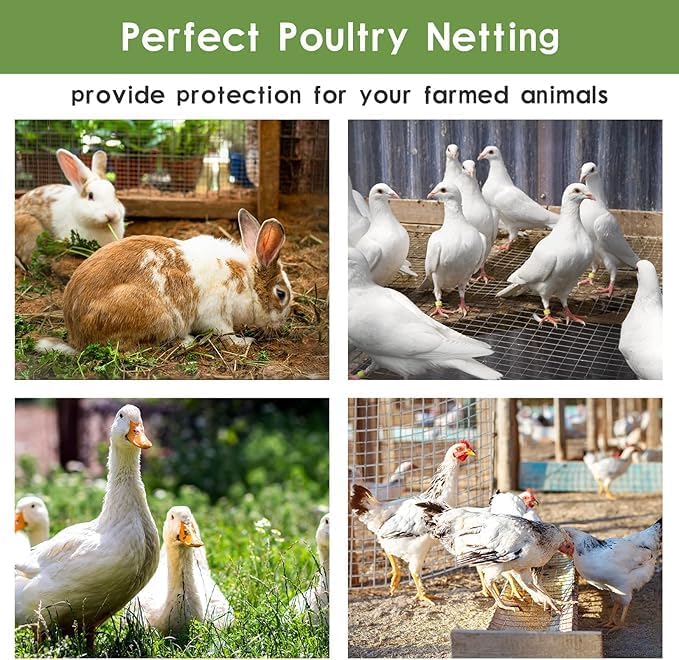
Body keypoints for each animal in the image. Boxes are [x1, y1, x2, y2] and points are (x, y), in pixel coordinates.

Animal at [45, 208, 292, 352]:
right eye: (281, 294)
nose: (280, 325)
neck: (247, 280)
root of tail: (76, 335)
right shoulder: (217, 314)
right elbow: (226, 334)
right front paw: (244, 342)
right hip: (155, 315)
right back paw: (186, 341)